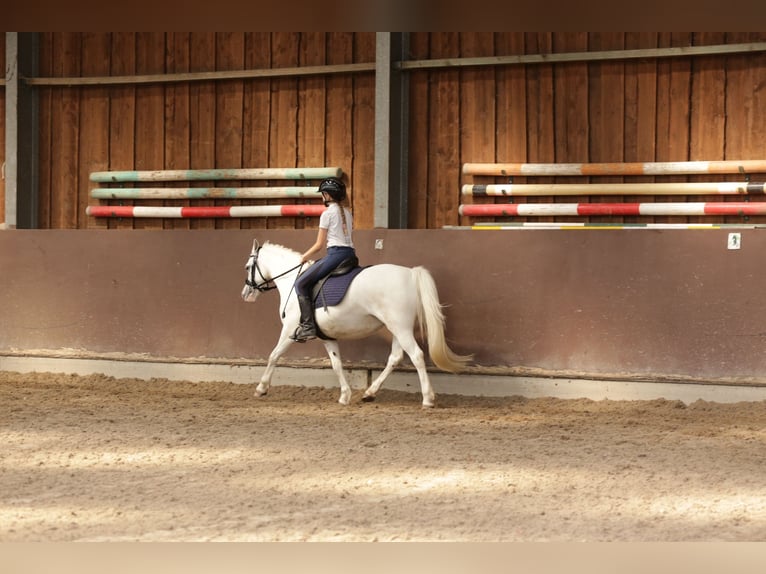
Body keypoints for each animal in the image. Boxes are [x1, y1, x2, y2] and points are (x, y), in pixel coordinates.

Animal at [242, 241, 474, 408]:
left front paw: (261, 388)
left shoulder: (290, 329)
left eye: (247, 267)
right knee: (395, 357)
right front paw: (345, 396)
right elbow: (336, 363)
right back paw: (370, 393)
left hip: (401, 328)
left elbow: (274, 355)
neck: (292, 280)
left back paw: (427, 399)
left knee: (416, 355)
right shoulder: (327, 337)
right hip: (398, 328)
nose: (246, 294)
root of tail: (410, 273)